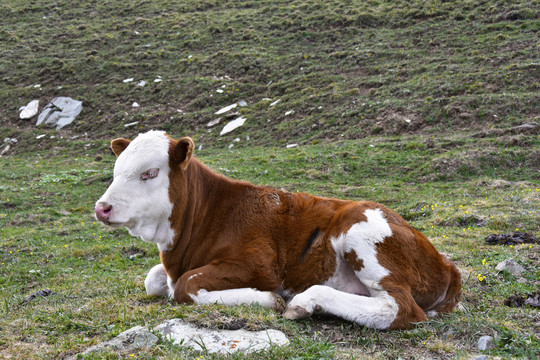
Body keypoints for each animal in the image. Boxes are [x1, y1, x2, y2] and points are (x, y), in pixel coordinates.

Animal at [94, 131, 460, 330]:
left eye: (149, 173)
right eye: (116, 170)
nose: (102, 207)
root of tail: (446, 262)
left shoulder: (259, 264)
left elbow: (186, 285)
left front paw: (268, 299)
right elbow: (154, 279)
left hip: (361, 230)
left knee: (399, 308)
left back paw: (305, 300)